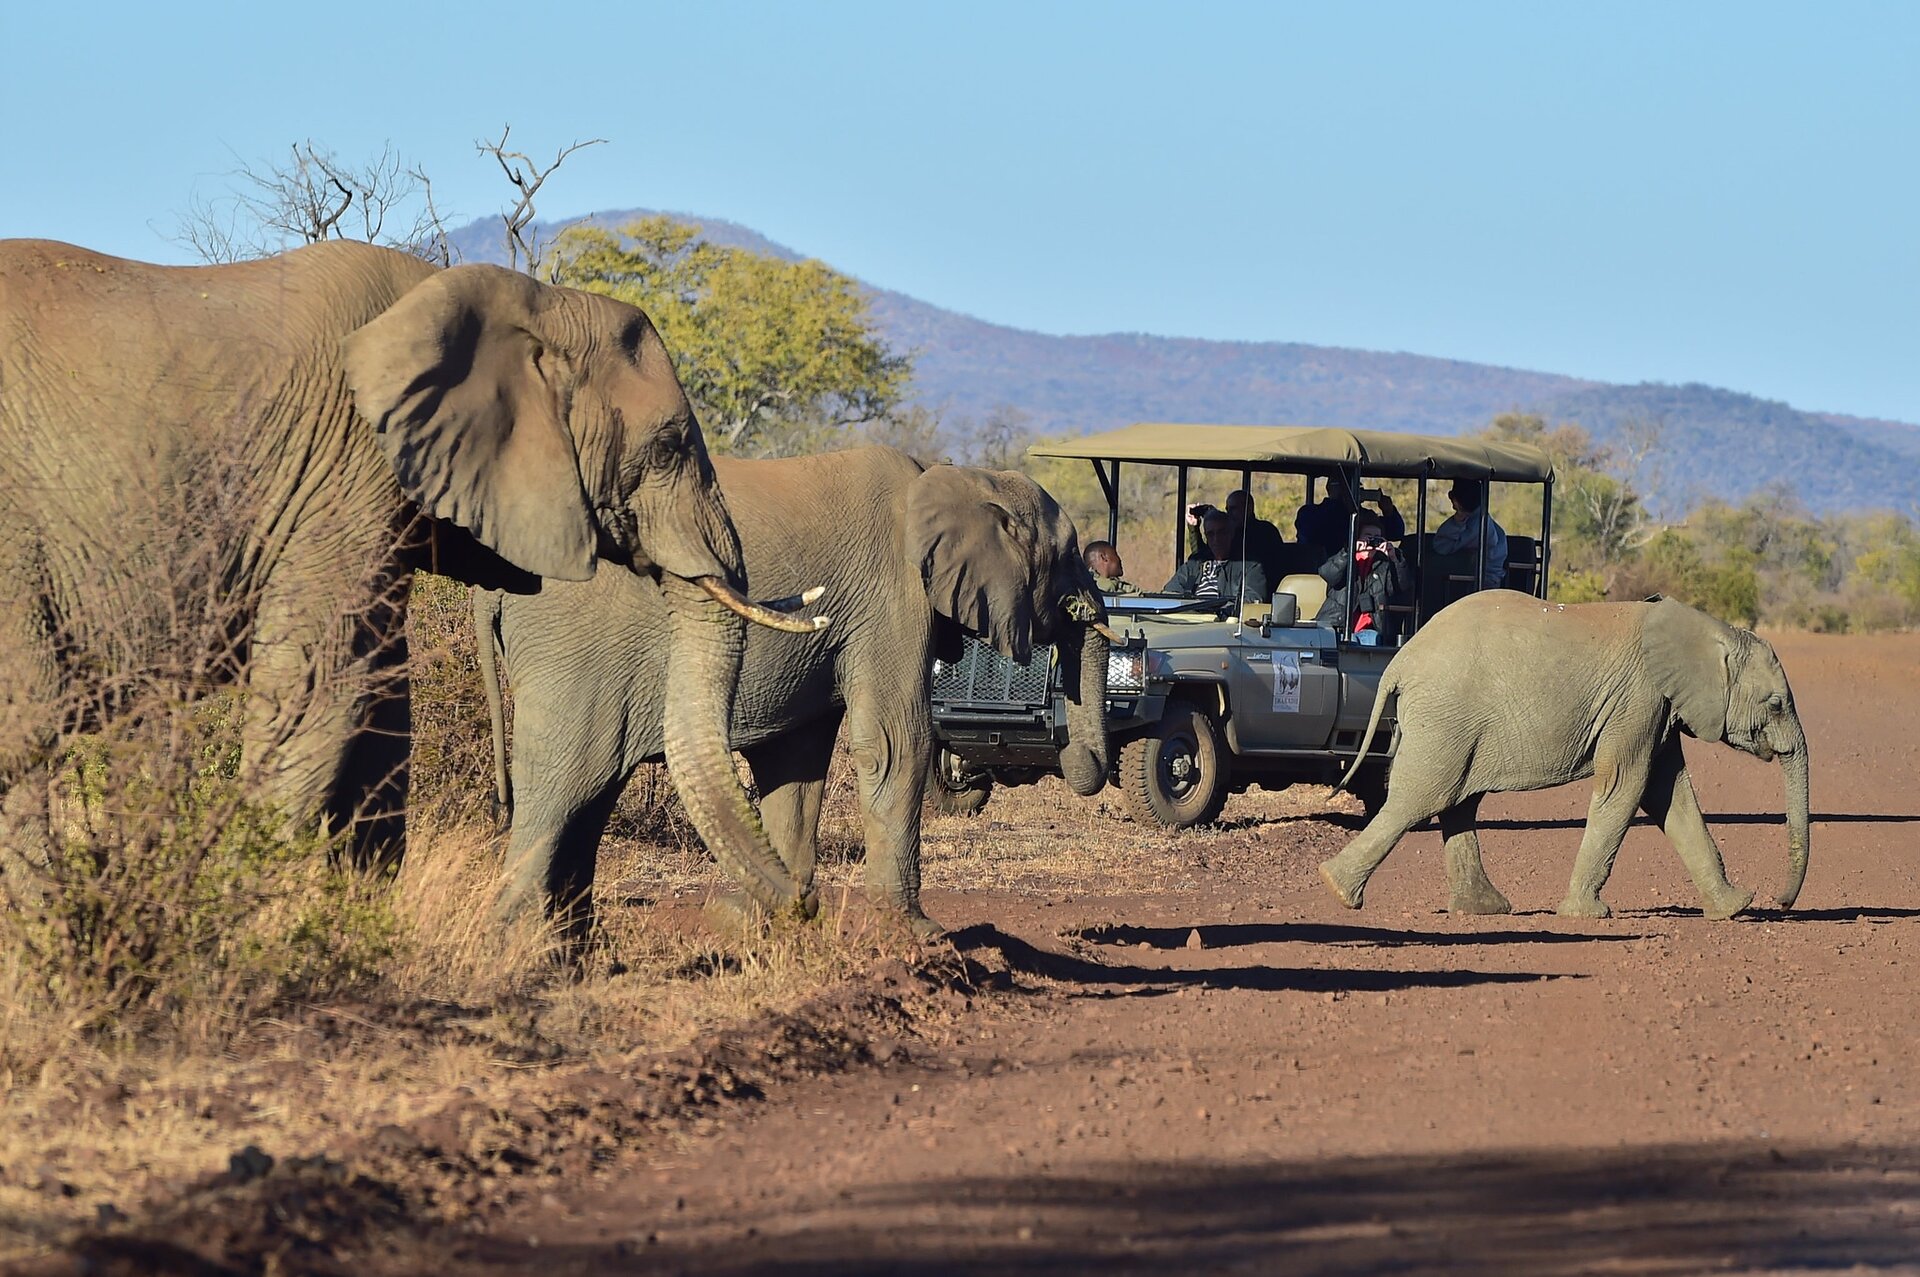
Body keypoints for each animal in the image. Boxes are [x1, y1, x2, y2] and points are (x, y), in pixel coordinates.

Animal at [0, 239, 817, 910]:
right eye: (671, 445)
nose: (802, 905)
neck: (529, 300)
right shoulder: (341, 468)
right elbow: (319, 689)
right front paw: (242, 927)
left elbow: (379, 707)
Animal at [470, 445, 1121, 937]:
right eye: (1066, 555)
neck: (952, 474)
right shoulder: (892, 598)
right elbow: (894, 743)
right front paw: (918, 934)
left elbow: (797, 764)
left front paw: (757, 920)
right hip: (576, 650)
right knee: (566, 782)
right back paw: (522, 950)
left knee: (588, 796)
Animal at [1320, 591, 1812, 921]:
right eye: (1775, 705)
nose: (1780, 902)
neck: (1708, 628)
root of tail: (1399, 662)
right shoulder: (1638, 698)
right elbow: (1627, 786)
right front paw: (1586, 916)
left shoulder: (1658, 708)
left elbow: (1670, 794)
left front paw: (1734, 909)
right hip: (1446, 716)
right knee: (1422, 799)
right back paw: (1339, 891)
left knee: (1457, 803)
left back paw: (1485, 910)